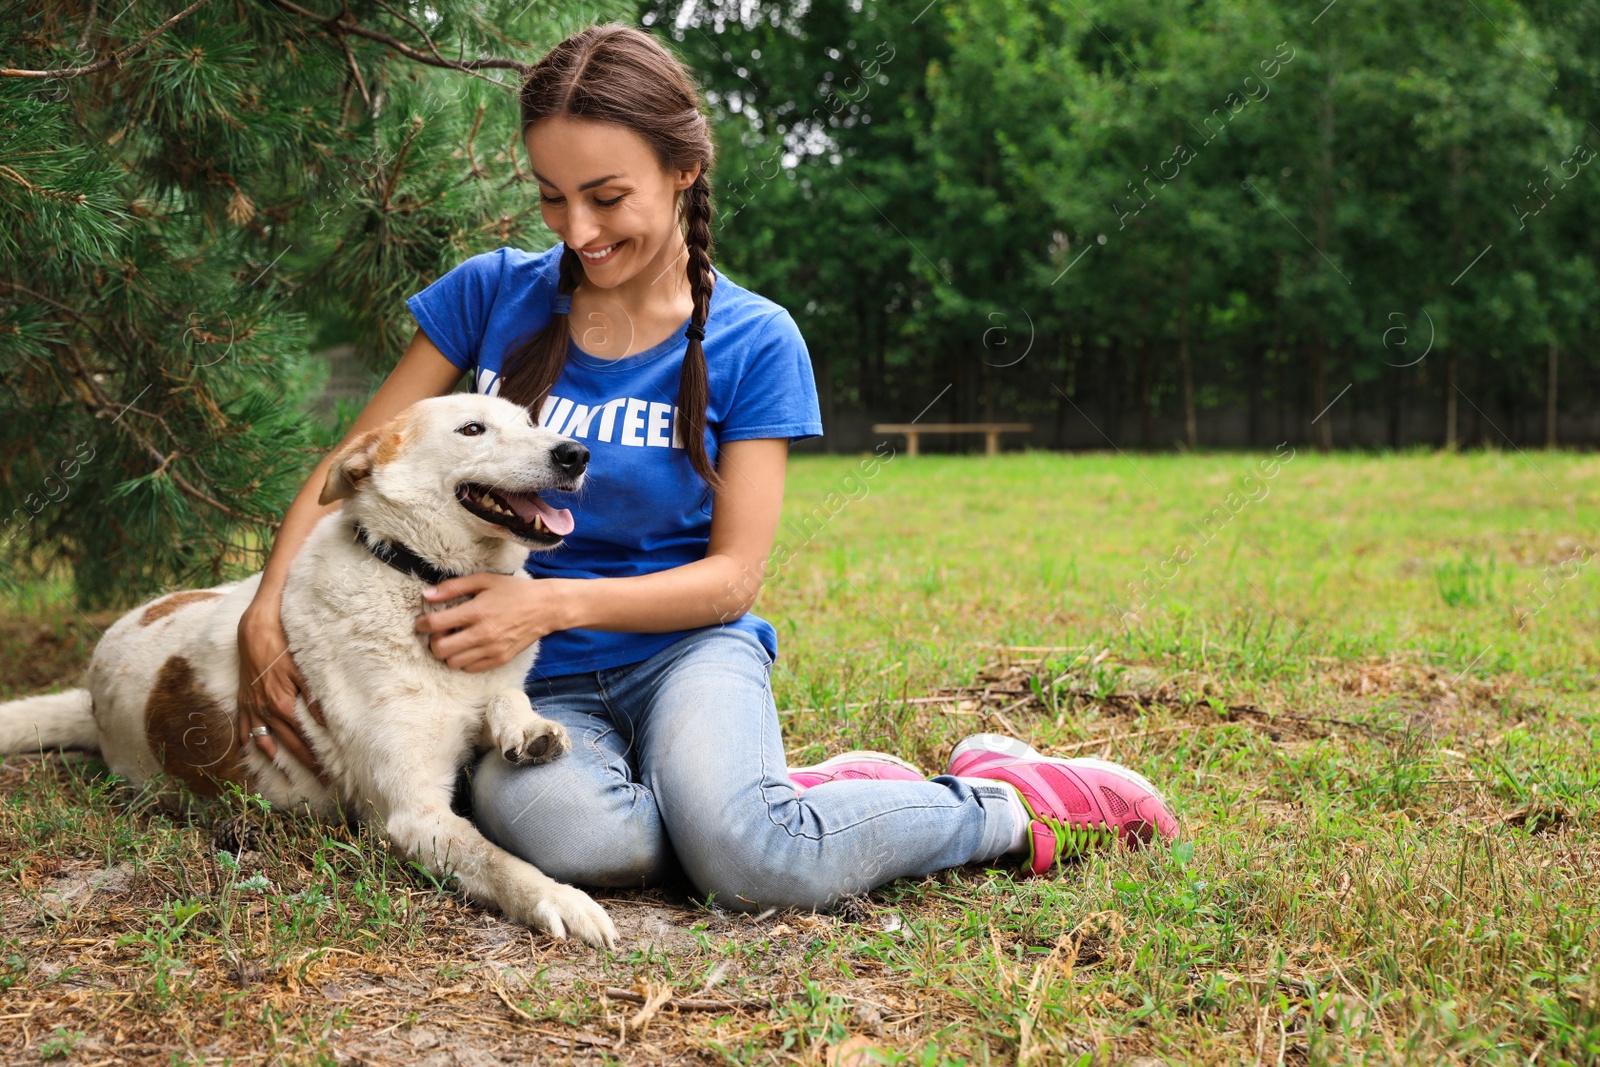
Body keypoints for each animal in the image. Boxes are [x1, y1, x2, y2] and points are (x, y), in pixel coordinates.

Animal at [0, 396, 617, 947]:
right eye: (473, 429)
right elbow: (497, 861)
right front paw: (560, 899)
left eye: (532, 424)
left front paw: (529, 730)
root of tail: (93, 686)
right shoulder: (411, 814)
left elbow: (506, 695)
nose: (576, 454)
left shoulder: (485, 685)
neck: (418, 577)